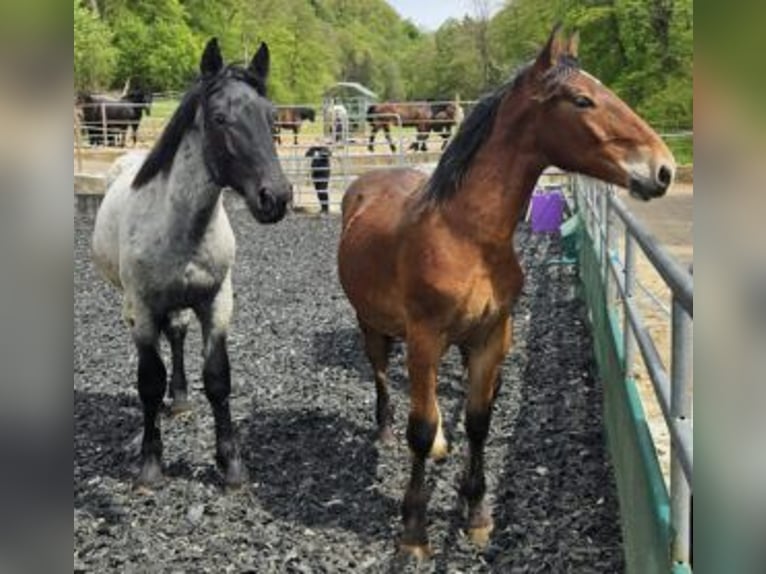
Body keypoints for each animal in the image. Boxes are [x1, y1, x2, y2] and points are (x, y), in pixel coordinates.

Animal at [91, 38, 294, 492]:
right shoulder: (144, 309)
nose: (276, 197)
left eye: (272, 117)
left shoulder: (217, 302)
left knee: (179, 334)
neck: (179, 226)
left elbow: (217, 379)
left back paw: (181, 399)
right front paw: (151, 465)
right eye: (220, 118)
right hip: (132, 307)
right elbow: (149, 382)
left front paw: (231, 465)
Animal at [340, 24, 676, 560]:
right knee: (381, 374)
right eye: (582, 99)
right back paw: (385, 430)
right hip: (371, 323)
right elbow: (420, 430)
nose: (663, 169)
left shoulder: (489, 338)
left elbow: (478, 420)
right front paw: (413, 532)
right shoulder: (425, 338)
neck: (466, 236)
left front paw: (476, 514)